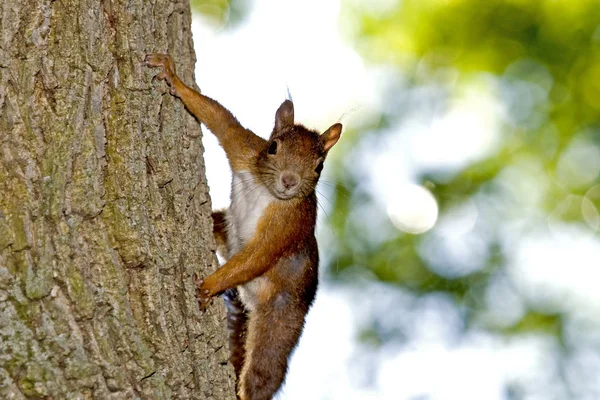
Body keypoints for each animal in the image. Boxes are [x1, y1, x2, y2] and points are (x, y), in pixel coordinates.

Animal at [145, 54, 342, 400]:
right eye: (273, 147)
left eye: (319, 167)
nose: (289, 181)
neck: (268, 191)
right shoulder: (245, 149)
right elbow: (220, 120)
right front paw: (172, 77)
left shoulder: (289, 225)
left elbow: (258, 255)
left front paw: (207, 287)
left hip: (281, 319)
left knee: (264, 371)